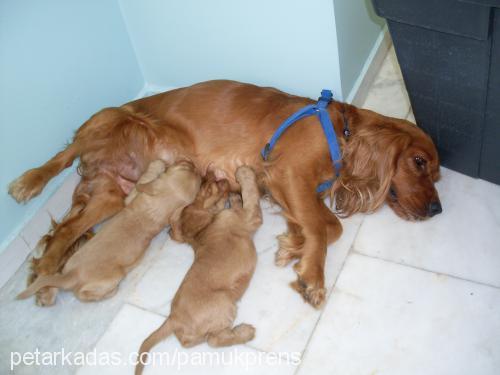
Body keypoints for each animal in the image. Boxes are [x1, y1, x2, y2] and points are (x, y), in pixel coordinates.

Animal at [17, 160, 201, 304]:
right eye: (186, 167)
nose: (193, 164)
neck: (157, 209)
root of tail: (71, 276)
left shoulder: (131, 199)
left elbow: (142, 181)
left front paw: (157, 163)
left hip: (108, 280)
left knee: (81, 294)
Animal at [135, 167, 264, 375]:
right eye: (205, 187)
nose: (208, 171)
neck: (201, 231)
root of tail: (173, 319)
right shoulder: (250, 218)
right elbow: (251, 194)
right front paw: (243, 173)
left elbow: (241, 201)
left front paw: (235, 197)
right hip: (225, 303)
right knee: (214, 340)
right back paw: (244, 332)